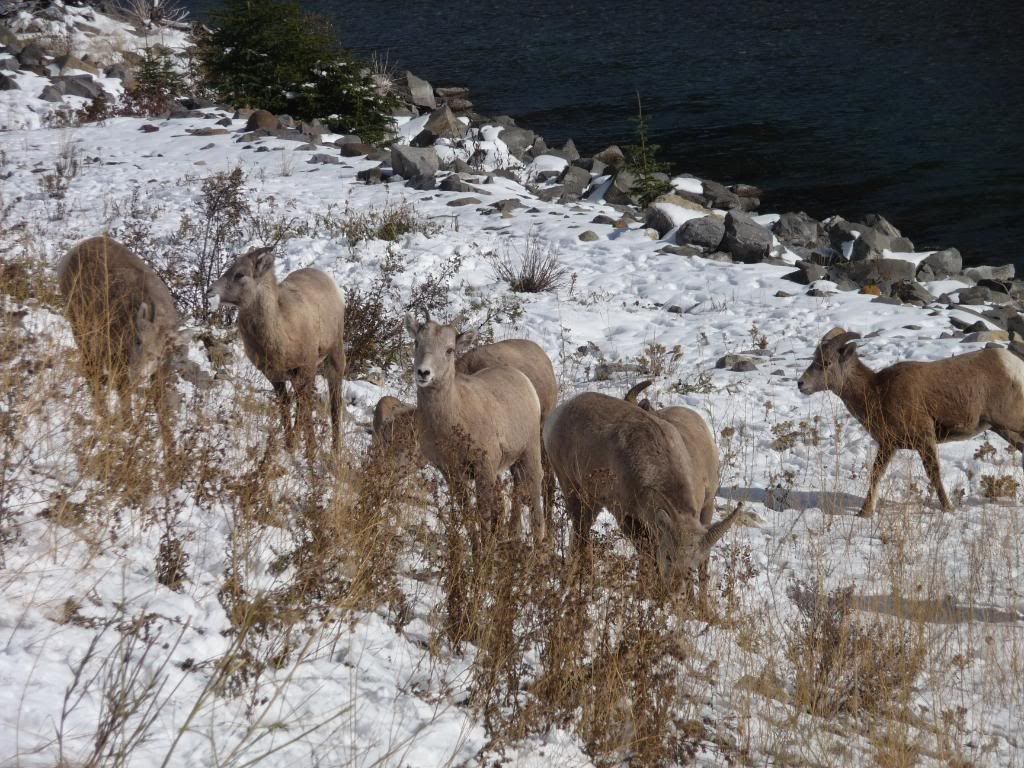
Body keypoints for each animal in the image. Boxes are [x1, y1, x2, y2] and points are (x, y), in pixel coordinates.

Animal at [58, 234, 182, 444]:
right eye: (139, 340)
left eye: (160, 352)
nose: (138, 373)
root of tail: (72, 252)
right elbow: (125, 396)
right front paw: (131, 430)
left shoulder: (160, 371)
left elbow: (161, 406)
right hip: (79, 325)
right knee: (90, 367)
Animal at [205, 246, 346, 456]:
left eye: (240, 274)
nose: (210, 291)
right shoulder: (275, 376)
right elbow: (286, 407)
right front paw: (290, 446)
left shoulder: (306, 368)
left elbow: (305, 408)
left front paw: (310, 451)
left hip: (334, 356)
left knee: (335, 404)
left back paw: (336, 451)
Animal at [401, 313, 544, 548]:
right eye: (417, 343)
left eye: (449, 349)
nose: (423, 373)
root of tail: (522, 378)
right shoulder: (451, 472)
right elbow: (467, 514)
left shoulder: (483, 469)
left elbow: (483, 515)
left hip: (530, 451)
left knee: (533, 494)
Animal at [544, 391, 761, 589]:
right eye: (668, 556)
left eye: (691, 565)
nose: (675, 588)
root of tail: (557, 414)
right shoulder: (627, 516)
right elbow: (647, 554)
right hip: (572, 488)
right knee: (581, 532)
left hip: (593, 501)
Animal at [794, 325, 1024, 518]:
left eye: (826, 363)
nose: (800, 384)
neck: (876, 392)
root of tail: (1014, 365)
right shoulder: (888, 445)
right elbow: (876, 475)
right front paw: (865, 512)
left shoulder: (924, 439)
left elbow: (933, 474)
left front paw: (948, 508)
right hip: (1003, 429)